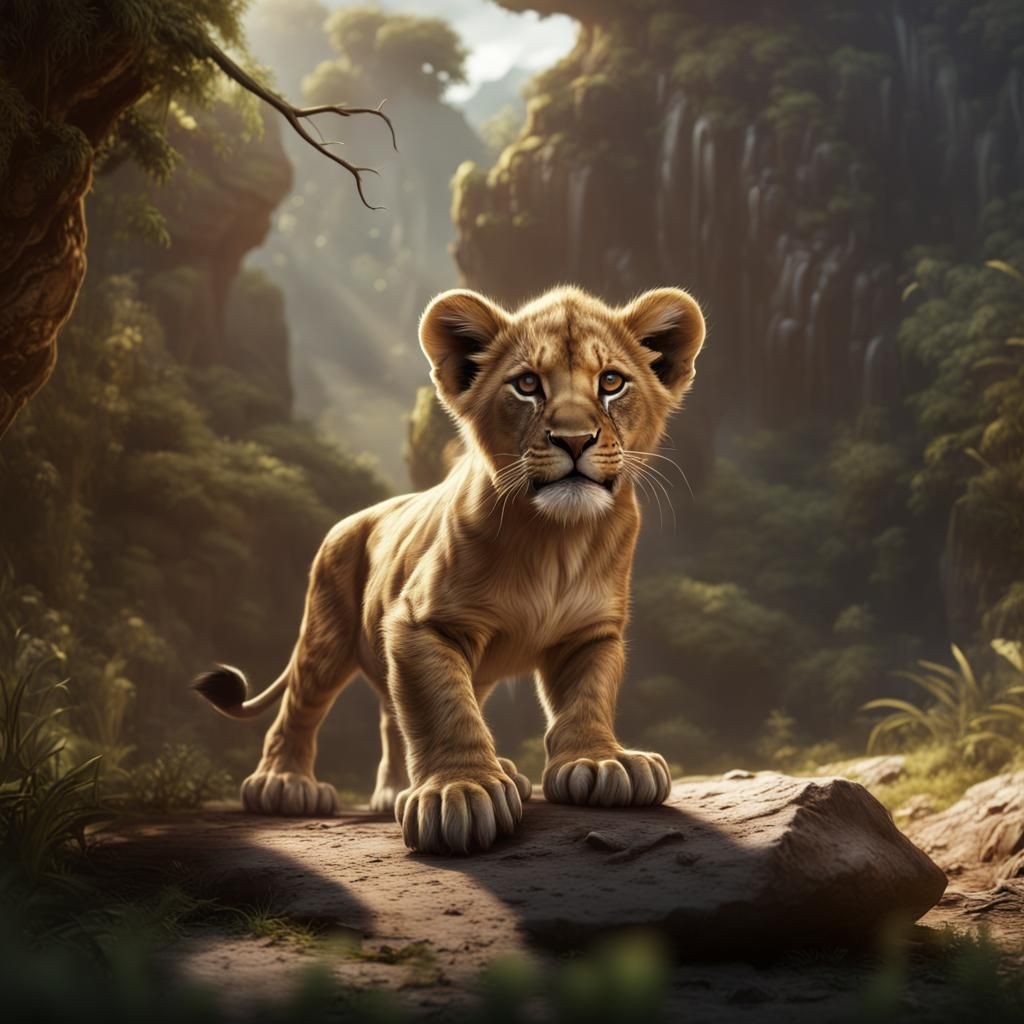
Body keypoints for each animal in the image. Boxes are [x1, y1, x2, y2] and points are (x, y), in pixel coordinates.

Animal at [194, 284, 706, 854]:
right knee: (304, 704)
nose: (574, 440)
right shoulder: (424, 623)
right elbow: (443, 709)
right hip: (325, 631)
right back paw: (284, 785)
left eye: (611, 382)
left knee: (396, 717)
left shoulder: (591, 632)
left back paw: (414, 787)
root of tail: (355, 518)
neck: (556, 538)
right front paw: (461, 792)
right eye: (527, 384)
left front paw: (602, 761)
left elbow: (587, 696)